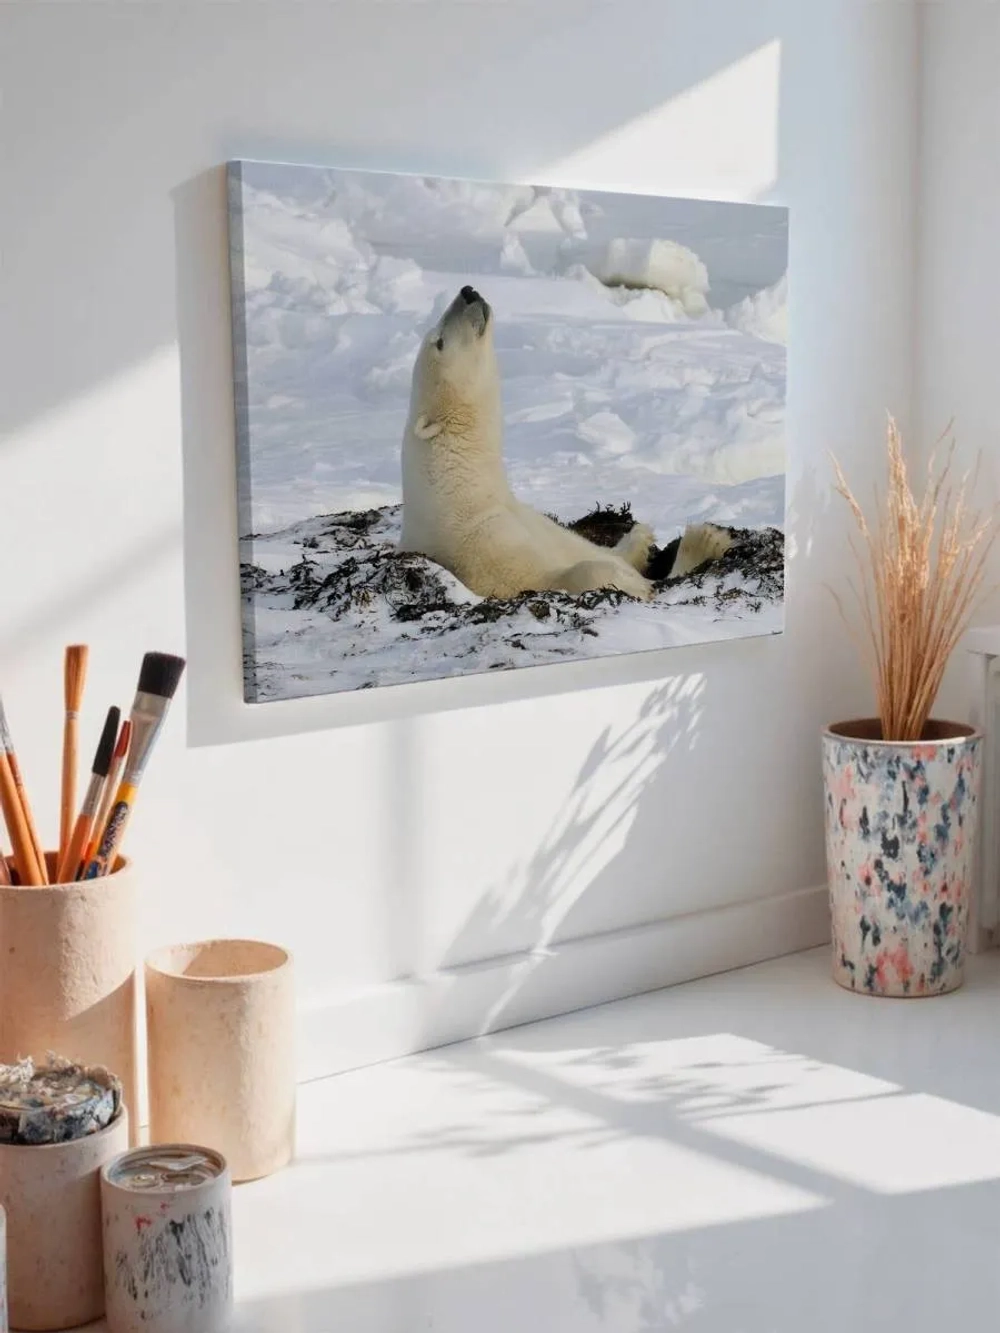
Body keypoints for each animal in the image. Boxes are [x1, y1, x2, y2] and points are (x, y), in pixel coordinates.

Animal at [399, 285, 732, 600]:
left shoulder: (532, 521)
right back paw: (702, 540)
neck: (465, 483)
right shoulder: (479, 542)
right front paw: (639, 580)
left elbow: (590, 548)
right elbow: (557, 576)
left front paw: (641, 539)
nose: (468, 291)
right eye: (440, 341)